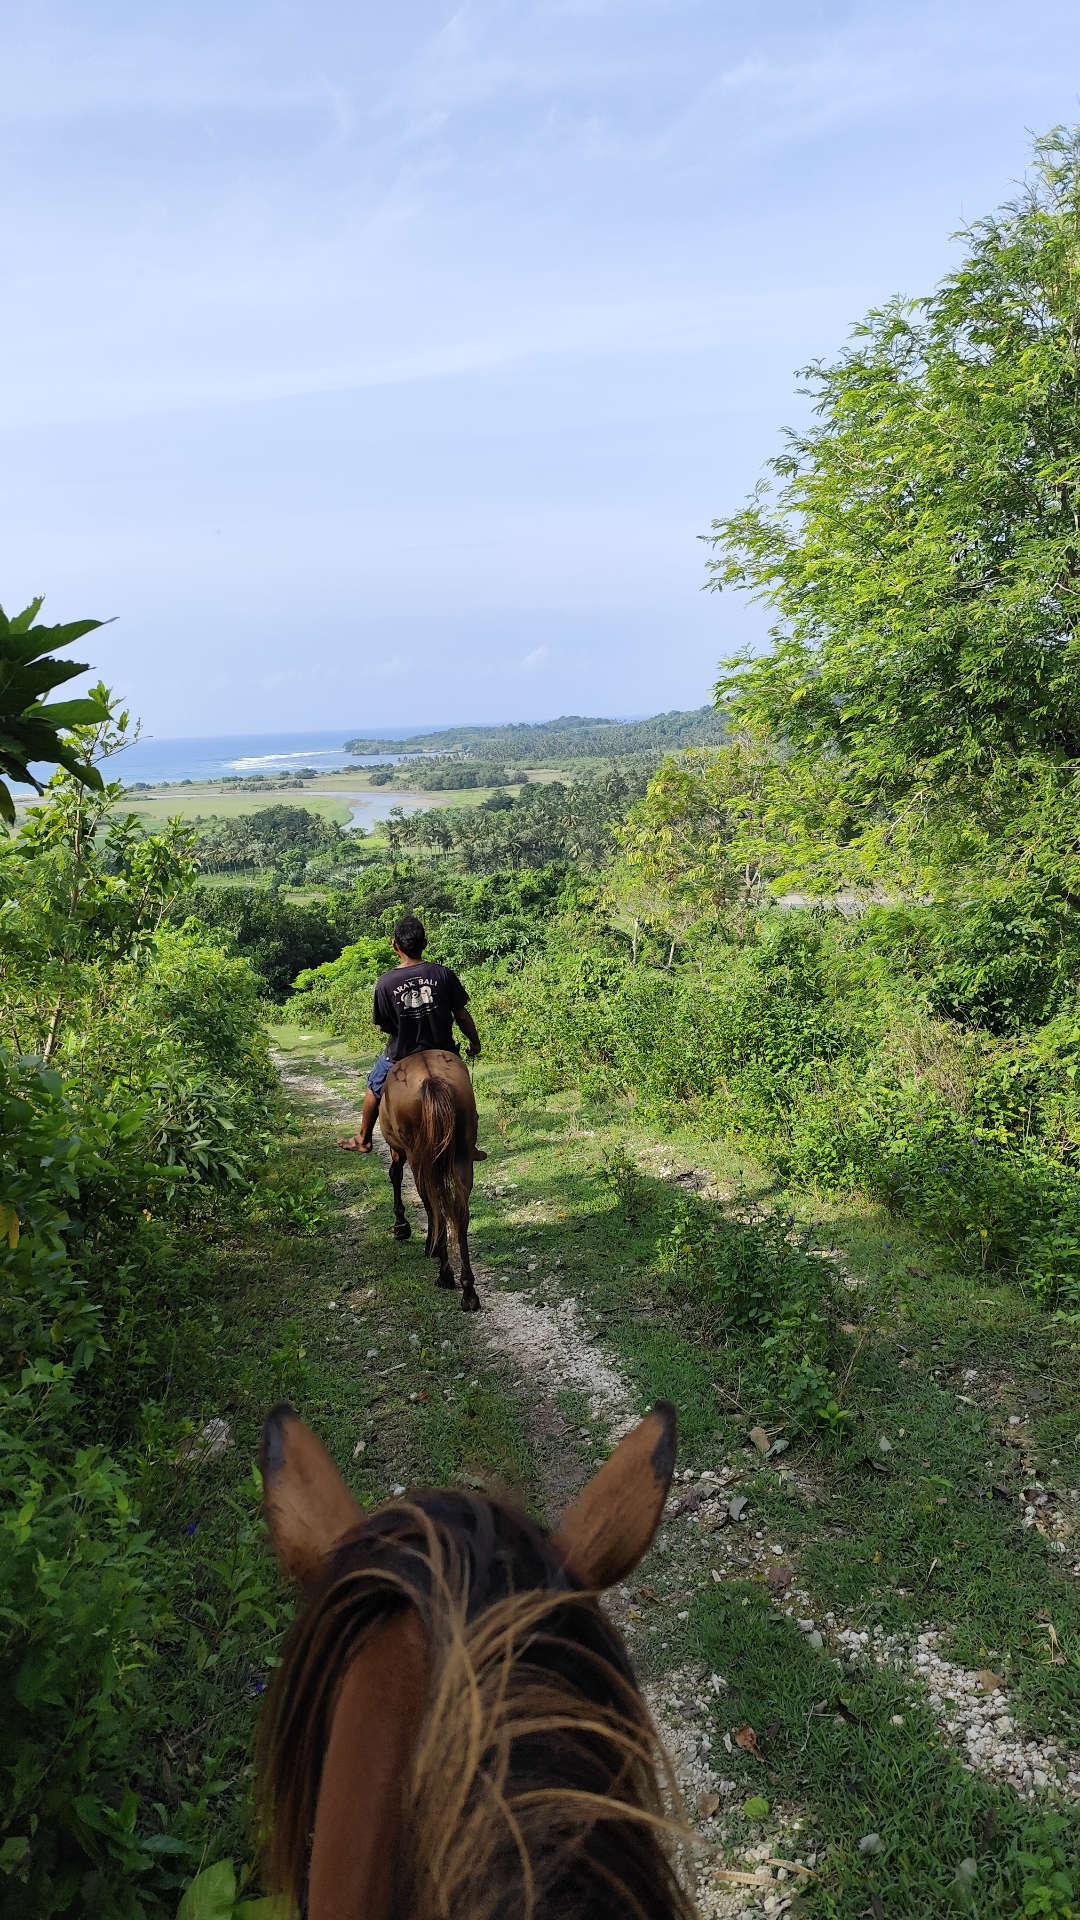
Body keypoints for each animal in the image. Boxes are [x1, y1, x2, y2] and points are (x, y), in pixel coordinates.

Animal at [376, 1048, 485, 1314]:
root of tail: (432, 1081)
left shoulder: (398, 1150)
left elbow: (395, 1175)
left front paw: (401, 1226)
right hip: (462, 1155)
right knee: (459, 1211)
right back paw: (468, 1292)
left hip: (420, 1160)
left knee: (433, 1205)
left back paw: (445, 1273)